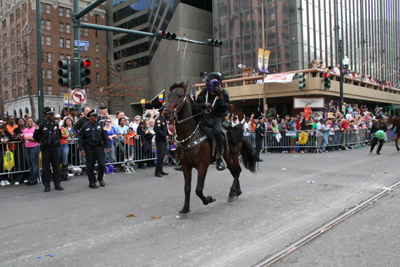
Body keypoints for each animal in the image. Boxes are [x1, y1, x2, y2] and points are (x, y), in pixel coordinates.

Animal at [164, 81, 258, 220]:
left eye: (180, 95)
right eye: (169, 95)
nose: (165, 113)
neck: (191, 135)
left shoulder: (202, 166)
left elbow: (198, 189)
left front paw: (208, 199)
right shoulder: (186, 166)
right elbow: (187, 188)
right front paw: (185, 209)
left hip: (234, 155)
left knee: (237, 171)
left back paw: (232, 192)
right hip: (227, 157)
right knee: (234, 171)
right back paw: (236, 192)